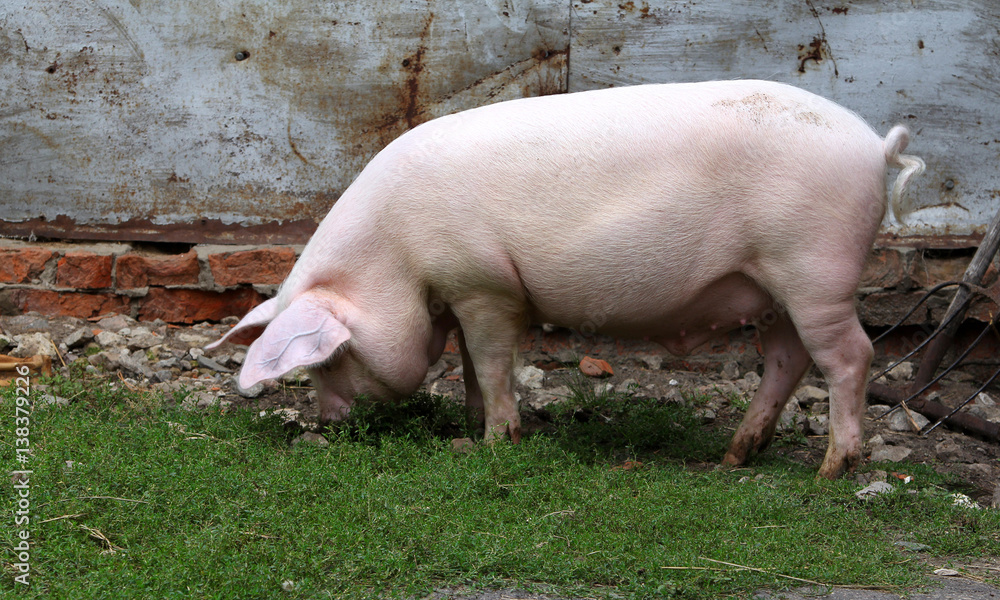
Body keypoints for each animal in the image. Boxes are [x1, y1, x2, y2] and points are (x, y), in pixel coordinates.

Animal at [209, 80, 925, 479]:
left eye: (328, 361)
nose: (328, 423)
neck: (395, 256)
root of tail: (875, 147)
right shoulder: (467, 294)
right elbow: (472, 366)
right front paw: (475, 426)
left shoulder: (484, 286)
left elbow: (491, 361)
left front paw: (494, 443)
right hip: (773, 286)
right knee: (786, 357)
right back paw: (733, 457)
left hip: (815, 267)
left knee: (849, 355)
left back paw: (831, 473)